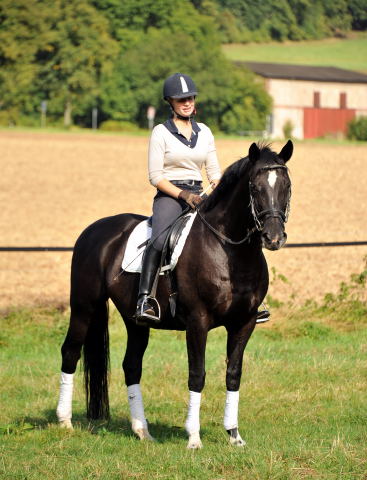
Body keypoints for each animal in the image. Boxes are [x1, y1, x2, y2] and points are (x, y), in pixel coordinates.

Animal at [56, 141, 294, 448]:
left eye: (287, 185)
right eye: (254, 187)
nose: (273, 238)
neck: (229, 251)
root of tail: (94, 230)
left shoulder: (244, 323)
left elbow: (233, 374)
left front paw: (234, 435)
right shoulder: (197, 321)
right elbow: (197, 375)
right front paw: (193, 438)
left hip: (135, 321)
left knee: (131, 366)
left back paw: (142, 430)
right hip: (84, 307)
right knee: (71, 352)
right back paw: (64, 421)